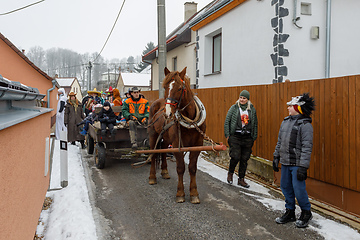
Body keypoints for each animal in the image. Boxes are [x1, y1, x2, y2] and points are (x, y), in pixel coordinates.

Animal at [148, 66, 207, 203]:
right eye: (165, 87)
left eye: (180, 88)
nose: (168, 113)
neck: (191, 122)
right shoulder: (177, 144)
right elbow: (180, 168)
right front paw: (180, 193)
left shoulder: (197, 145)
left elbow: (192, 168)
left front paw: (194, 193)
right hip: (153, 135)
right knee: (153, 154)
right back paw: (152, 177)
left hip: (166, 138)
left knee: (163, 150)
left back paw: (164, 171)